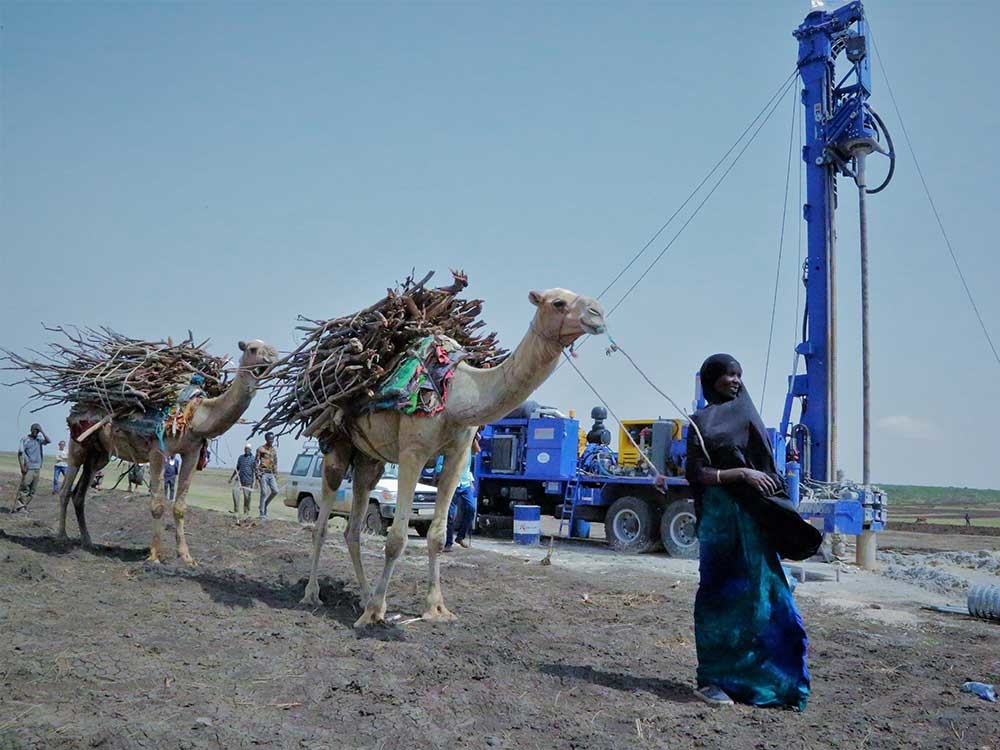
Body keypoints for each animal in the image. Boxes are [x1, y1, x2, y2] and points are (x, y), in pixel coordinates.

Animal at [58, 340, 278, 564]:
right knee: (65, 489)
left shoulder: (192, 452)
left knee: (80, 493)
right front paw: (154, 555)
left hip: (98, 454)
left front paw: (186, 557)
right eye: (252, 349)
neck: (196, 415)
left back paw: (87, 542)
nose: (268, 361)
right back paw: (62, 537)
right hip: (78, 443)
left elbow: (180, 507)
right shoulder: (157, 451)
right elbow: (157, 505)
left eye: (274, 351)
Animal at [300, 290, 604, 632]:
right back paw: (313, 595)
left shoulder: (459, 456)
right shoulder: (413, 452)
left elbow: (435, 534)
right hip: (337, 445)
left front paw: (435, 609)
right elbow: (396, 538)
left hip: (369, 460)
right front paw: (375, 613)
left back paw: (364, 596)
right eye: (558, 303)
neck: (457, 392)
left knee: (353, 527)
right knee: (321, 523)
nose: (598, 314)